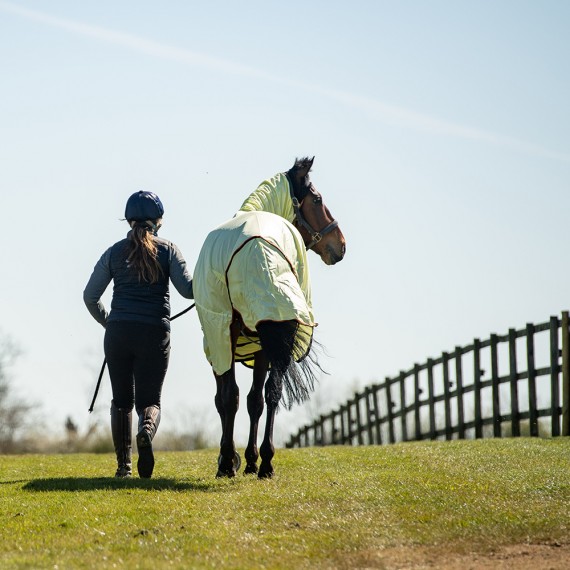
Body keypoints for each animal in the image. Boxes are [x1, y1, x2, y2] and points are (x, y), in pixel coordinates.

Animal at [193, 154, 344, 474]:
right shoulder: (257, 343)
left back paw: (235, 461)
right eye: (317, 199)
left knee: (240, 396)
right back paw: (262, 461)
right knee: (267, 393)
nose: (341, 244)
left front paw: (243, 458)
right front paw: (250, 458)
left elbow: (244, 399)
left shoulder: (243, 340)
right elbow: (253, 399)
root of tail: (258, 250)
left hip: (226, 333)